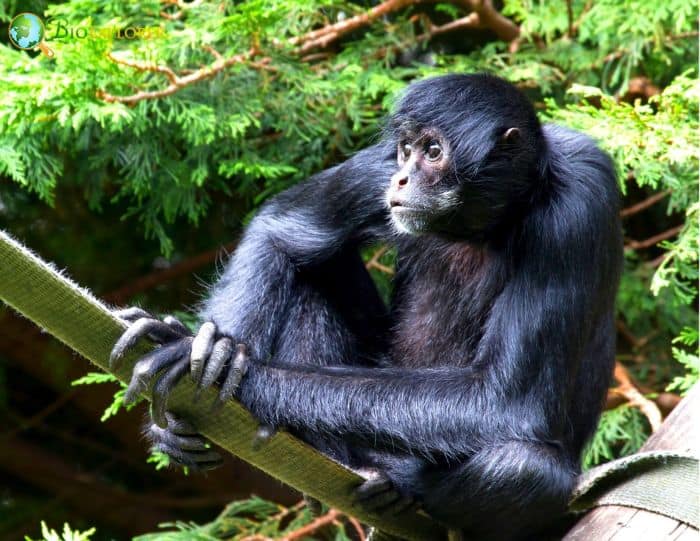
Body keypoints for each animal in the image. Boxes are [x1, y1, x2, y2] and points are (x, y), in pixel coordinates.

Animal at [111, 73, 622, 540]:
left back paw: (394, 480)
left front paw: (240, 372)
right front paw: (215, 354)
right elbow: (280, 231)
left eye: (433, 152)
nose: (402, 177)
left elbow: (505, 400)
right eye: (406, 149)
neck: (483, 223)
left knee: (522, 466)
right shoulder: (380, 166)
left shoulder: (575, 206)